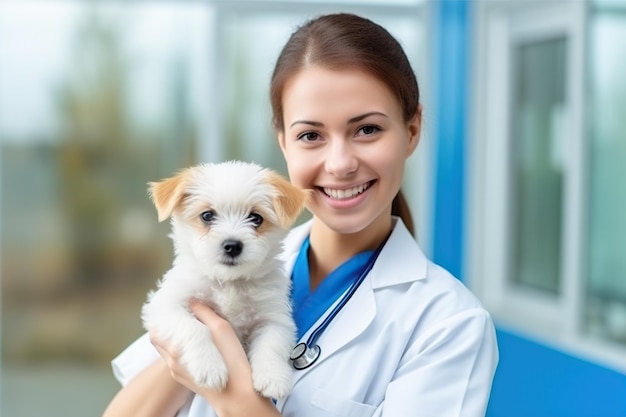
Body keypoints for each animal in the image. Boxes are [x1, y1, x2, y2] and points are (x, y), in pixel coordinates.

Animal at [141, 159, 308, 396]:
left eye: (256, 218)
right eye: (207, 215)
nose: (232, 246)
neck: (230, 282)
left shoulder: (274, 318)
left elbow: (272, 343)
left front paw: (273, 378)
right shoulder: (166, 305)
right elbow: (194, 328)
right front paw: (209, 367)